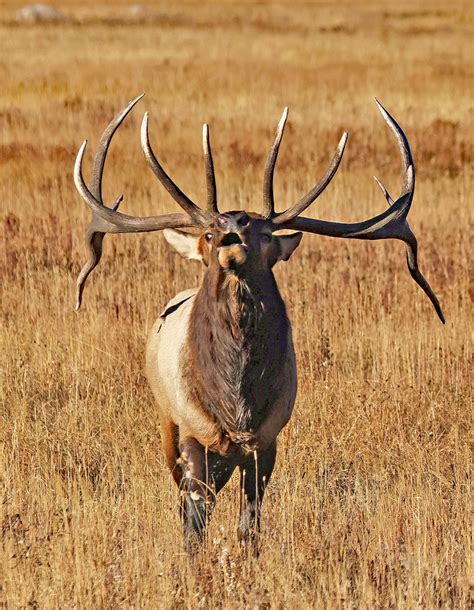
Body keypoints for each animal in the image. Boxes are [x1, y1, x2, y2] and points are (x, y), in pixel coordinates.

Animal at [74, 95, 444, 552]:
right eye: (210, 234)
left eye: (264, 234)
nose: (231, 231)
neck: (237, 405)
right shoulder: (192, 431)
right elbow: (194, 522)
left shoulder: (268, 438)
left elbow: (249, 525)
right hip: (167, 422)